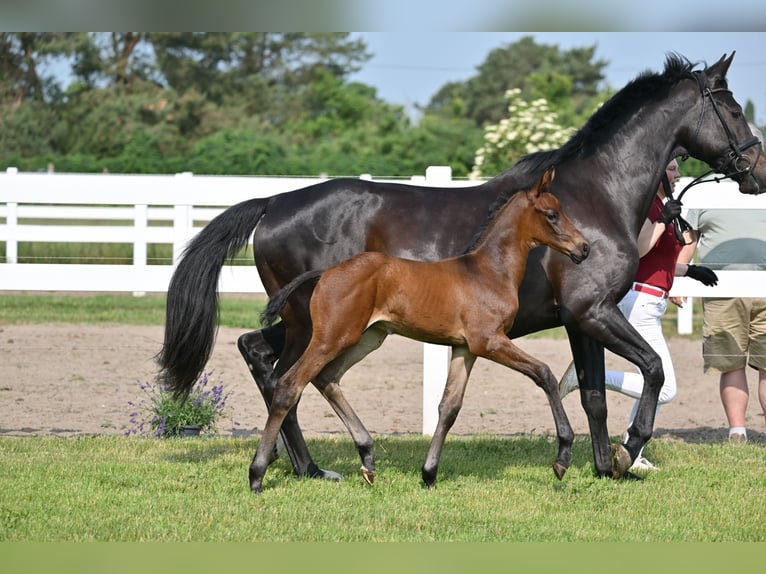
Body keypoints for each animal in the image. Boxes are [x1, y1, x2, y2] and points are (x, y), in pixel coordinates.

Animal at [249, 168, 589, 492]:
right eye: (552, 214)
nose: (584, 248)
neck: (488, 271)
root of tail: (325, 272)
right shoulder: (489, 341)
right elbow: (544, 374)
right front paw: (562, 457)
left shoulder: (465, 348)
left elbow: (449, 406)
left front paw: (429, 474)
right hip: (331, 337)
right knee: (289, 385)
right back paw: (257, 475)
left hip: (368, 337)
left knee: (327, 378)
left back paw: (367, 458)